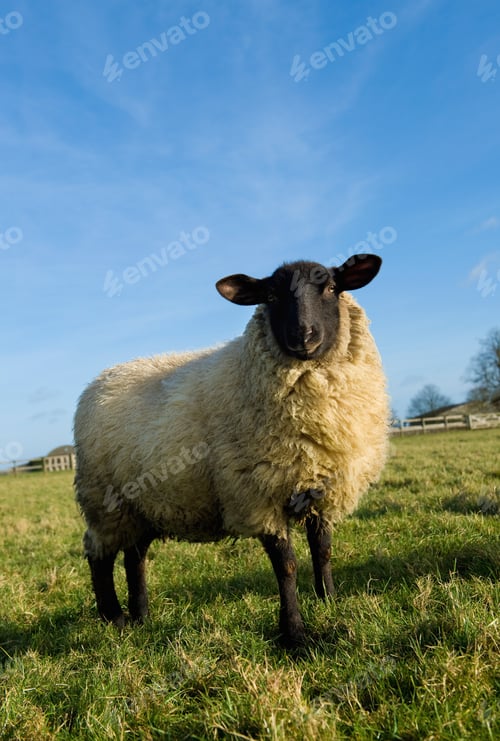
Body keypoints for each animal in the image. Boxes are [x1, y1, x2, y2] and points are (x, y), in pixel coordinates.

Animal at [74, 253, 389, 646]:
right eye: (271, 296)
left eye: (332, 288)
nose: (303, 337)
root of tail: (98, 381)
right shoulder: (258, 494)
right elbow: (286, 567)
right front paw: (294, 633)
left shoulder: (322, 488)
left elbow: (323, 550)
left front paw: (328, 600)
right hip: (106, 501)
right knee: (99, 554)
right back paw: (113, 616)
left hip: (143, 505)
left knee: (135, 557)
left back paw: (141, 616)